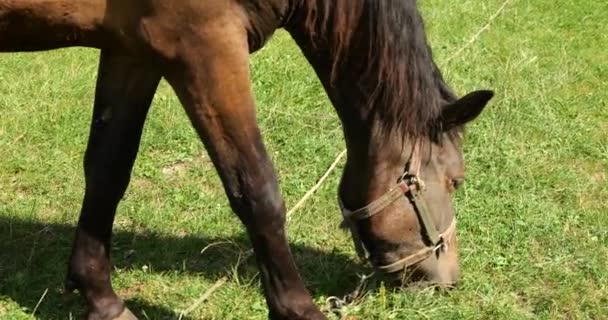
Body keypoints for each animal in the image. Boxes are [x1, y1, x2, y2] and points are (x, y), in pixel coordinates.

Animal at [0, 0, 494, 320]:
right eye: (456, 180)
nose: (448, 279)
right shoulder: (204, 44)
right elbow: (256, 189)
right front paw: (298, 310)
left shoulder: (132, 50)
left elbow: (108, 171)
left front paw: (102, 299)